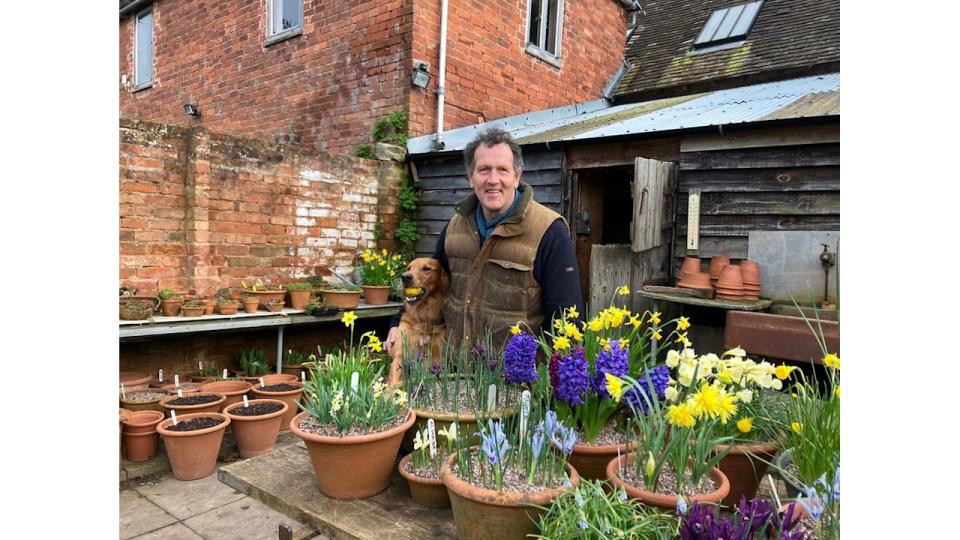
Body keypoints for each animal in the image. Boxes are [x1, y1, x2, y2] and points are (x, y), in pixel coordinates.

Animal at [390, 256, 450, 384]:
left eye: (426, 268)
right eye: (409, 268)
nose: (405, 277)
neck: (423, 317)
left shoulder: (437, 356)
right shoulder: (401, 354)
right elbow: (394, 380)